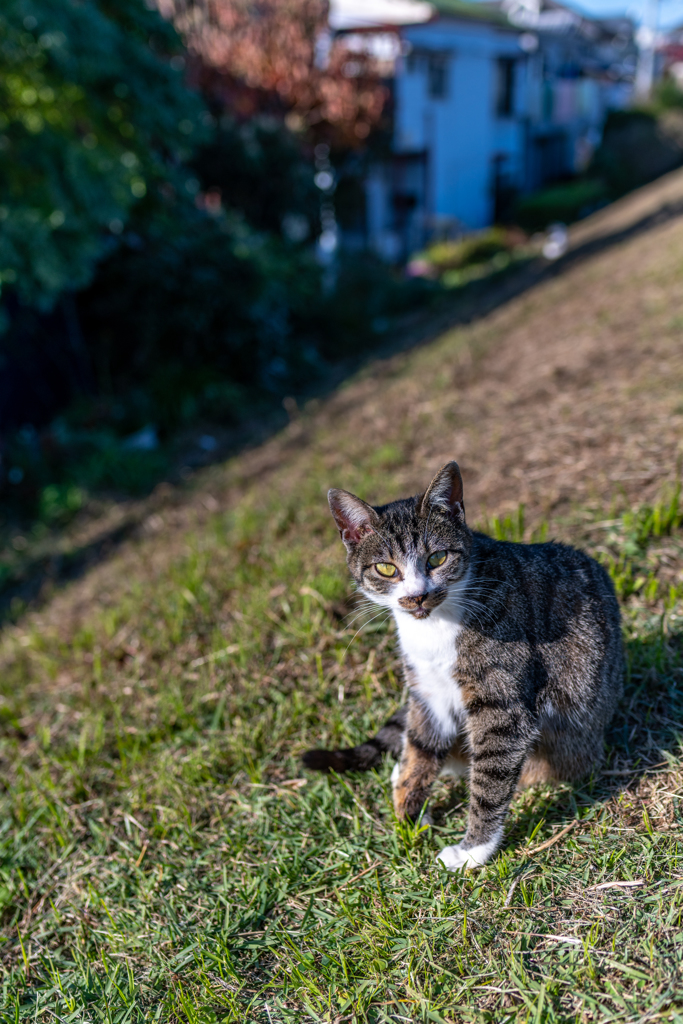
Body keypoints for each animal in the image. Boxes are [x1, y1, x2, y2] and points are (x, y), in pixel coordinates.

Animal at [305, 464, 626, 872]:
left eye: (437, 558)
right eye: (386, 568)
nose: (417, 596)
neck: (434, 627)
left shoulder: (502, 706)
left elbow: (489, 779)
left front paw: (473, 850)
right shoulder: (428, 694)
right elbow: (421, 751)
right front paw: (410, 818)